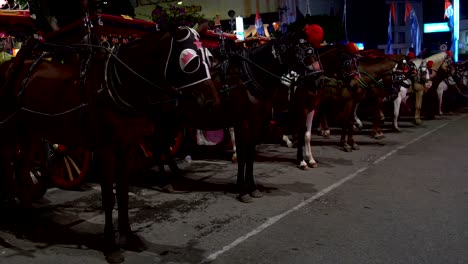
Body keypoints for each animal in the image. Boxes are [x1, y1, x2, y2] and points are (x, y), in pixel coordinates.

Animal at [0, 24, 219, 262]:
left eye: (209, 59)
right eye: (191, 62)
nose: (213, 102)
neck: (117, 85)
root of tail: (10, 64)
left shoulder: (127, 146)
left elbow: (122, 193)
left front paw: (128, 235)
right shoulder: (106, 149)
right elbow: (108, 197)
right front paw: (111, 244)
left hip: (30, 132)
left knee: (21, 171)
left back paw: (29, 220)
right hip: (10, 132)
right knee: (9, 172)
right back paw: (15, 216)